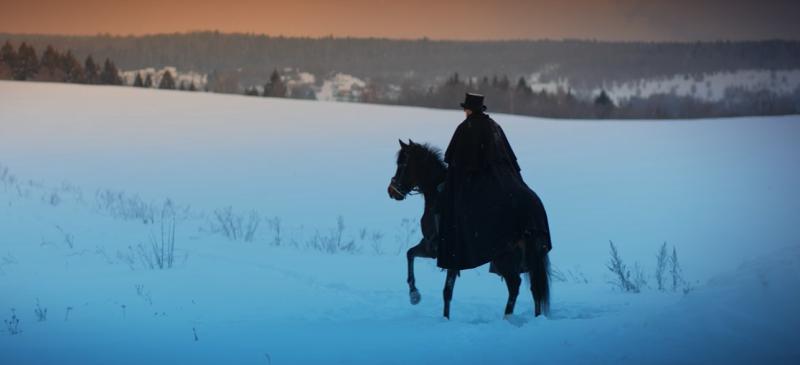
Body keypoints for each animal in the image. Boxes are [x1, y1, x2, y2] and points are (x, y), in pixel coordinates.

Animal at [388, 139, 552, 318]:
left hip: (505, 257)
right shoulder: (431, 248)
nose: (391, 190)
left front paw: (433, 309)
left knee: (515, 285)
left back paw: (507, 318)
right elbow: (410, 254)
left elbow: (446, 290)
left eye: (402, 164)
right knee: (534, 288)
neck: (437, 195)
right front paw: (415, 295)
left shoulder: (441, 251)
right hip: (528, 257)